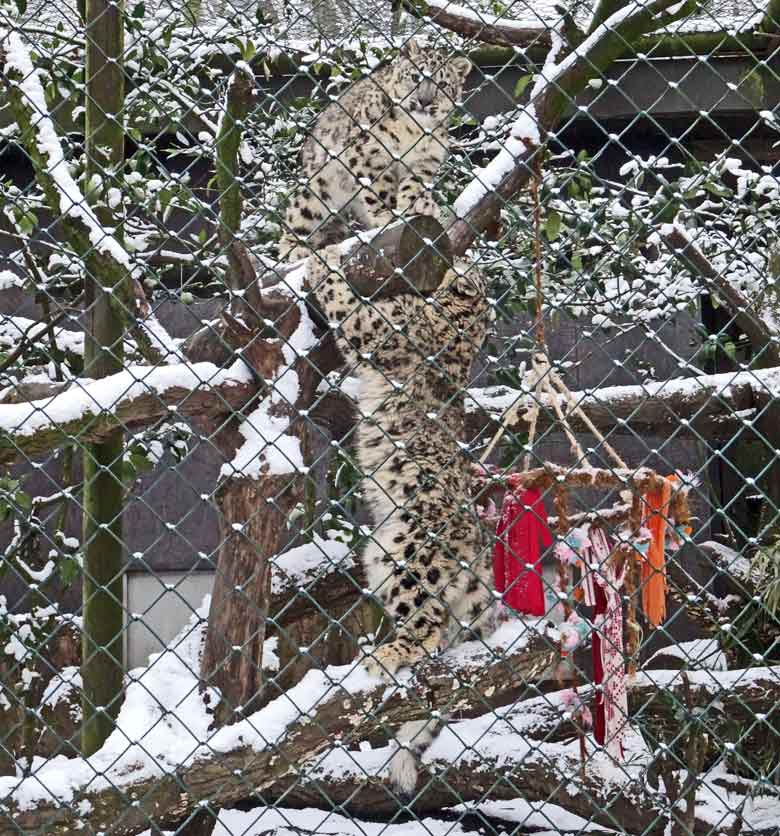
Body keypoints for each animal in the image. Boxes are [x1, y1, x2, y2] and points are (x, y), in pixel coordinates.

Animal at [278, 38, 470, 262]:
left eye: (443, 84)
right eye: (415, 76)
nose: (424, 101)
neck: (413, 131)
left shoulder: (426, 159)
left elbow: (415, 182)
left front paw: (419, 204)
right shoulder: (368, 153)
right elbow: (379, 187)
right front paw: (387, 214)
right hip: (317, 189)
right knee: (298, 215)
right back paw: (296, 249)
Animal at [306, 247, 494, 796]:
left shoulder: (383, 328)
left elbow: (352, 304)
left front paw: (319, 256)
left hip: (411, 547)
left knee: (426, 631)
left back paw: (385, 654)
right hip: (381, 553)